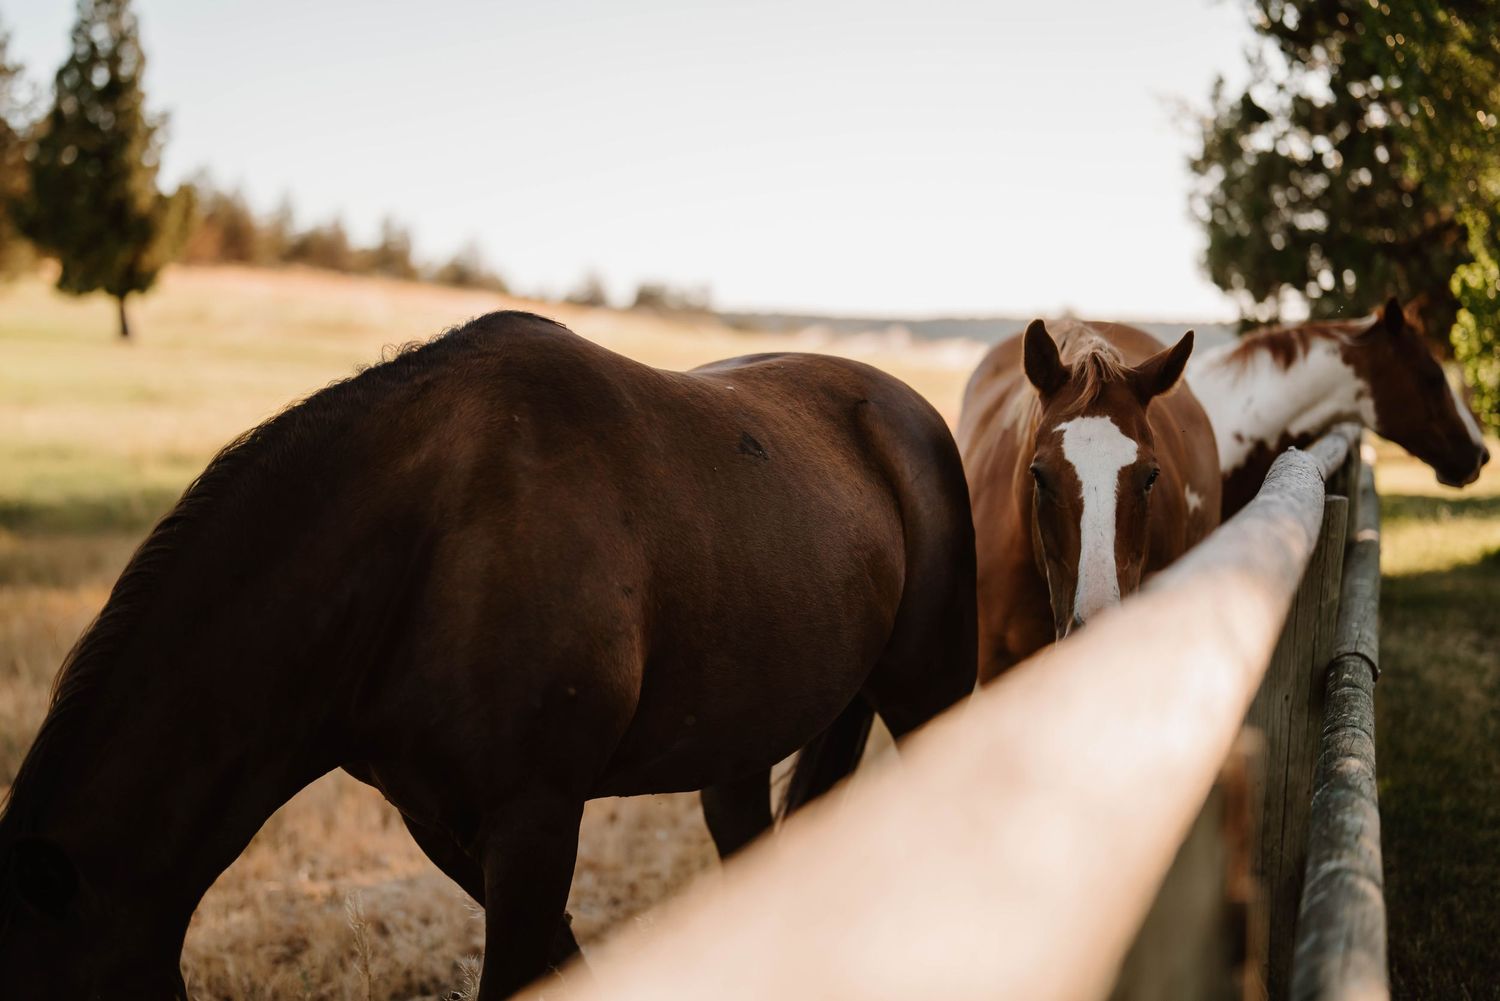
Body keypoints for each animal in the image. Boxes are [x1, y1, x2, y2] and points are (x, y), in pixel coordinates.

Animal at [0, 311, 977, 1000]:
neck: (426, 543)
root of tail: (907, 409)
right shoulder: (438, 818)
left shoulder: (534, 817)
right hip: (735, 744)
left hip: (929, 697)